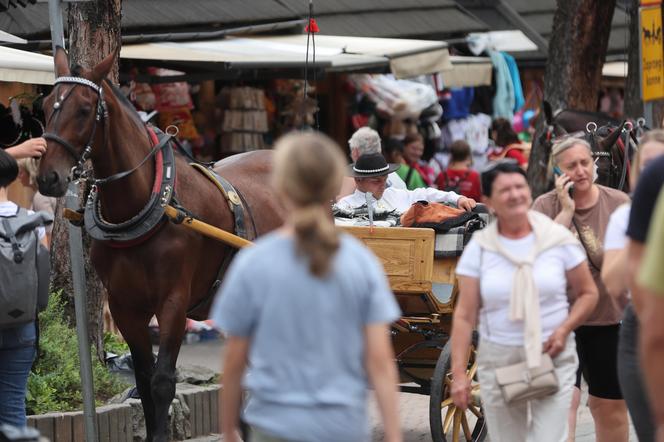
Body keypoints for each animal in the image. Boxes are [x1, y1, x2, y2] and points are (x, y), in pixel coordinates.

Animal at [36, 46, 286, 440]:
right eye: (46, 105)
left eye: (84, 109)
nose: (48, 177)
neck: (149, 202)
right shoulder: (125, 306)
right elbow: (143, 378)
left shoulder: (173, 302)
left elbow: (162, 383)